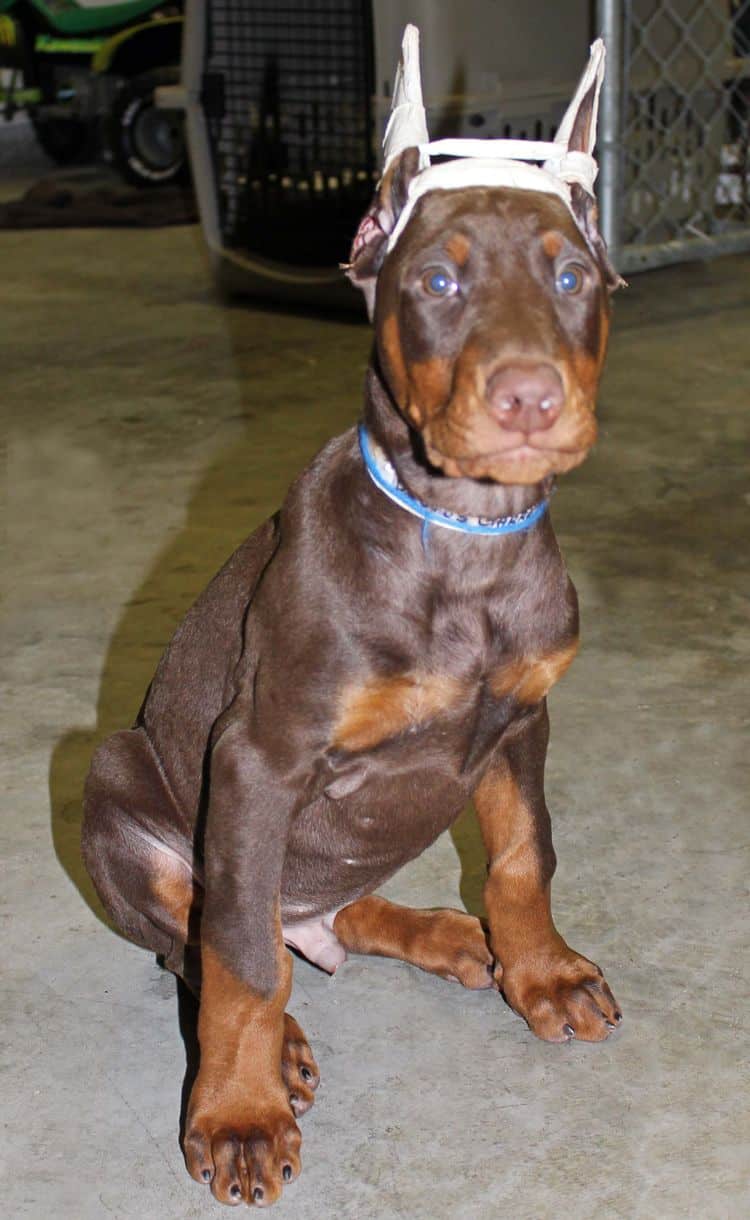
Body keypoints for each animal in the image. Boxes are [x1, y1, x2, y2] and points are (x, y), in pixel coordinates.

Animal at [80, 50, 621, 1210]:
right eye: (438, 284)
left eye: (572, 279)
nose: (527, 398)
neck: (462, 537)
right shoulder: (258, 758)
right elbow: (239, 959)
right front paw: (239, 1112)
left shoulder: (522, 722)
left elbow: (524, 852)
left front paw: (543, 971)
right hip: (116, 781)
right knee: (217, 941)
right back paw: (279, 1044)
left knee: (325, 915)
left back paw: (447, 935)